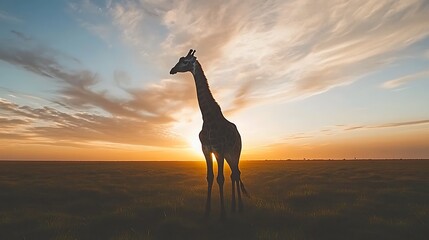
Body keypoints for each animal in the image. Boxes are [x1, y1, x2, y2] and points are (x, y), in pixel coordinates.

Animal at [168, 48, 246, 219]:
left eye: (185, 61)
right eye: (179, 59)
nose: (172, 70)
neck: (208, 117)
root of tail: (239, 134)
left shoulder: (219, 150)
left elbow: (220, 178)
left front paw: (222, 214)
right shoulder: (206, 149)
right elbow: (210, 177)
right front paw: (207, 210)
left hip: (235, 152)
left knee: (236, 173)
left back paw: (239, 207)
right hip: (229, 154)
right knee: (234, 174)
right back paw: (234, 207)